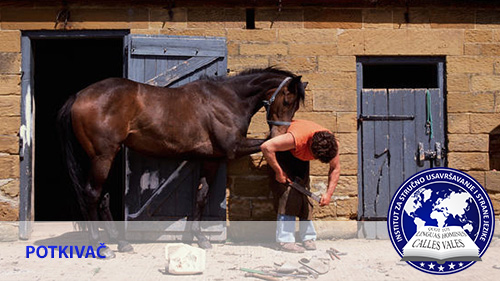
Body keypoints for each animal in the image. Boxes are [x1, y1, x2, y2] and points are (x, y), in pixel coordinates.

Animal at [57, 66, 306, 258]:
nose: (281, 133)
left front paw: (200, 238)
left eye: (294, 105)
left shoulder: (211, 158)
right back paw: (100, 245)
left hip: (105, 157)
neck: (227, 100)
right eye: (287, 100)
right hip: (102, 157)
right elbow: (263, 144)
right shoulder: (234, 148)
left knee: (103, 197)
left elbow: (201, 195)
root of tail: (79, 96)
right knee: (91, 195)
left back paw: (120, 242)